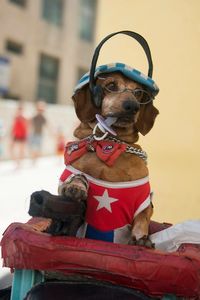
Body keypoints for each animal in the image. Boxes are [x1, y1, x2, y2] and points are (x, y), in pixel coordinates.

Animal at [58, 70, 159, 246]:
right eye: (111, 85)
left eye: (138, 92)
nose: (133, 106)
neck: (109, 146)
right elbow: (76, 179)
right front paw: (76, 186)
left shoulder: (144, 202)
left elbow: (142, 220)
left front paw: (141, 239)